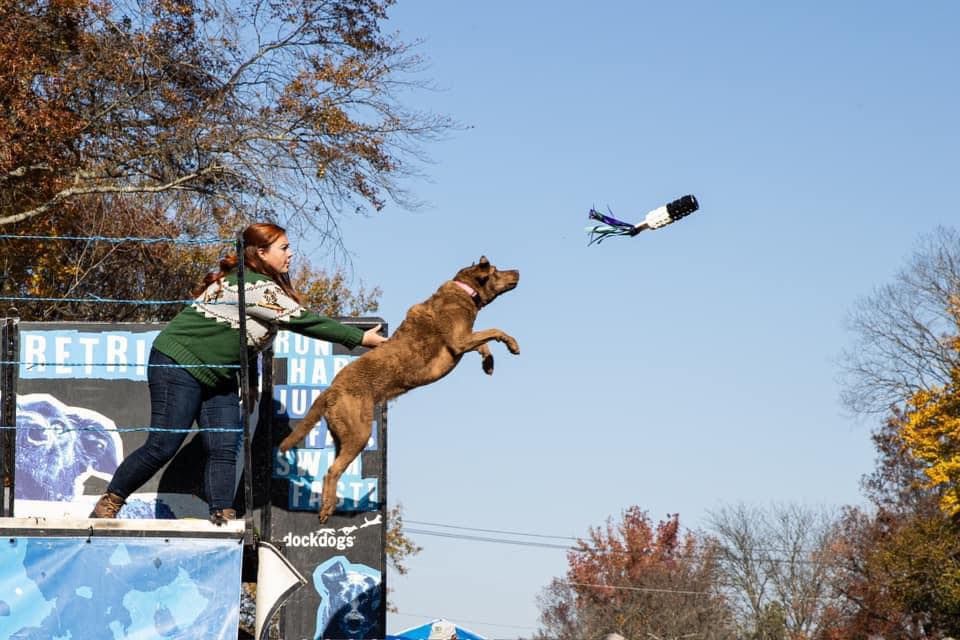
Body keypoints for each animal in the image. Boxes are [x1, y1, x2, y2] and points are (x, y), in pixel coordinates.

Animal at [278, 255, 516, 520]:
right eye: (497, 271)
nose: (517, 272)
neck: (464, 291)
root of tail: (331, 389)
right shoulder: (459, 340)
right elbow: (494, 331)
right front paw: (513, 345)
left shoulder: (465, 340)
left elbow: (484, 343)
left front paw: (489, 364)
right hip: (360, 432)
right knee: (332, 471)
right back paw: (327, 508)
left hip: (342, 434)